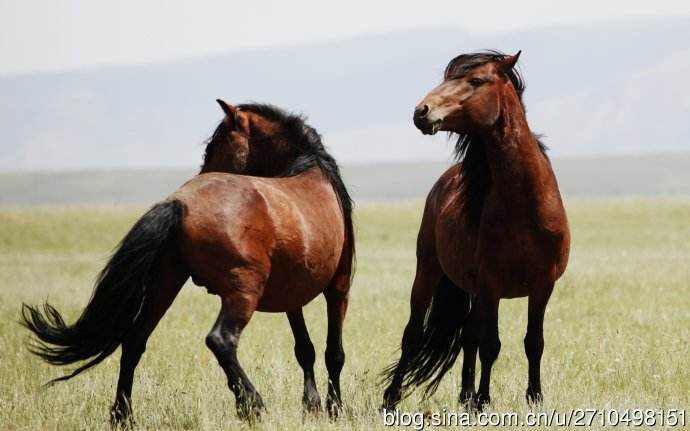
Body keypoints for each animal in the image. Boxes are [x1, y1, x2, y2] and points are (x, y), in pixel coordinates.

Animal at [21, 101, 354, 426]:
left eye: (214, 145)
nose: (203, 169)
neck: (310, 169)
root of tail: (179, 203)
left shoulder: (291, 297)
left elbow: (305, 349)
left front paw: (312, 406)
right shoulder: (339, 288)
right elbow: (333, 352)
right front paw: (334, 408)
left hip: (165, 284)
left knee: (135, 341)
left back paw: (123, 415)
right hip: (242, 292)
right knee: (220, 341)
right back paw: (251, 404)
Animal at [378, 50, 568, 412]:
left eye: (476, 80)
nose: (421, 112)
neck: (525, 205)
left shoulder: (543, 284)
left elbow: (533, 341)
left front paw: (534, 398)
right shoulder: (491, 283)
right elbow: (491, 344)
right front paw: (483, 400)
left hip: (472, 289)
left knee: (468, 335)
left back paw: (465, 396)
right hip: (429, 271)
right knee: (415, 335)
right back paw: (391, 399)